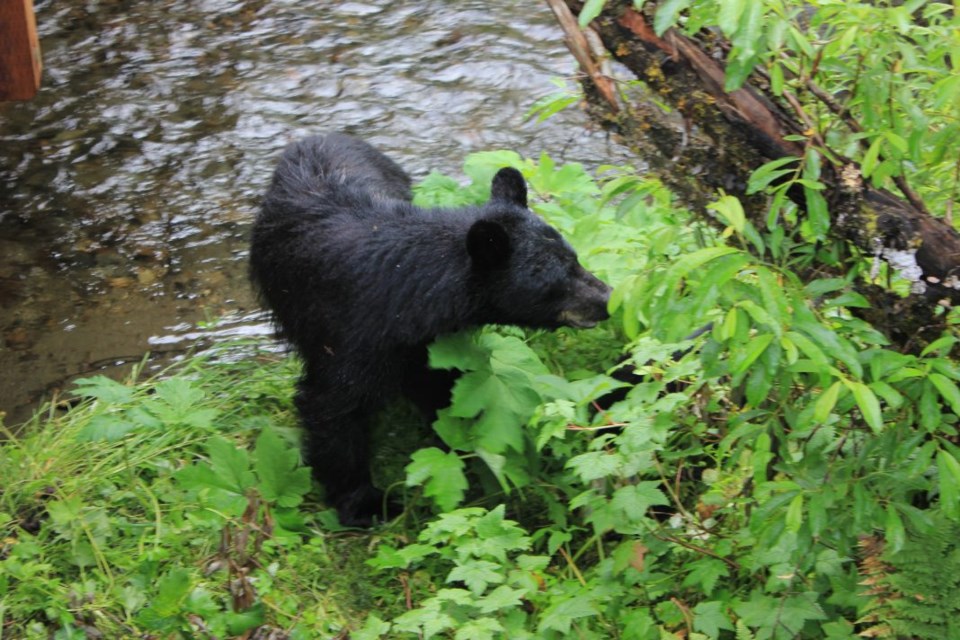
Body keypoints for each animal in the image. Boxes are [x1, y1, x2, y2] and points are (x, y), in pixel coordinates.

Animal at [248, 134, 608, 524]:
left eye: (575, 258)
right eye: (558, 280)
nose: (607, 298)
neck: (410, 294)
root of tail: (318, 137)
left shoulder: (428, 341)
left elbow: (441, 387)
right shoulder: (351, 331)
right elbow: (332, 406)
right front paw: (365, 504)